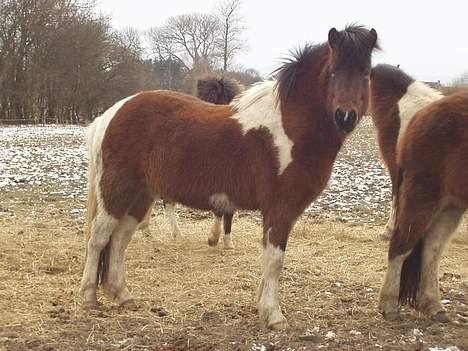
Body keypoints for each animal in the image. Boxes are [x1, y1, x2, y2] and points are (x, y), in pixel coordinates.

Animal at [372, 64, 468, 324]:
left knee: (430, 249)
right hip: (427, 196)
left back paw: (433, 305)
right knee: (404, 245)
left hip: (447, 203)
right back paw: (391, 306)